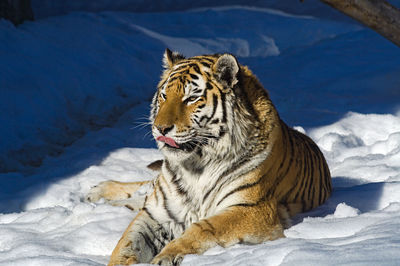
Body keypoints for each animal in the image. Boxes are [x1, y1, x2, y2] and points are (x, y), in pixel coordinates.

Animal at [86, 48, 332, 266]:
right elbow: (127, 242)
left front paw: (166, 256)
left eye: (191, 98)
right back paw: (96, 192)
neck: (196, 165)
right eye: (164, 95)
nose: (160, 128)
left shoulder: (250, 209)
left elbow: (203, 228)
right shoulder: (155, 213)